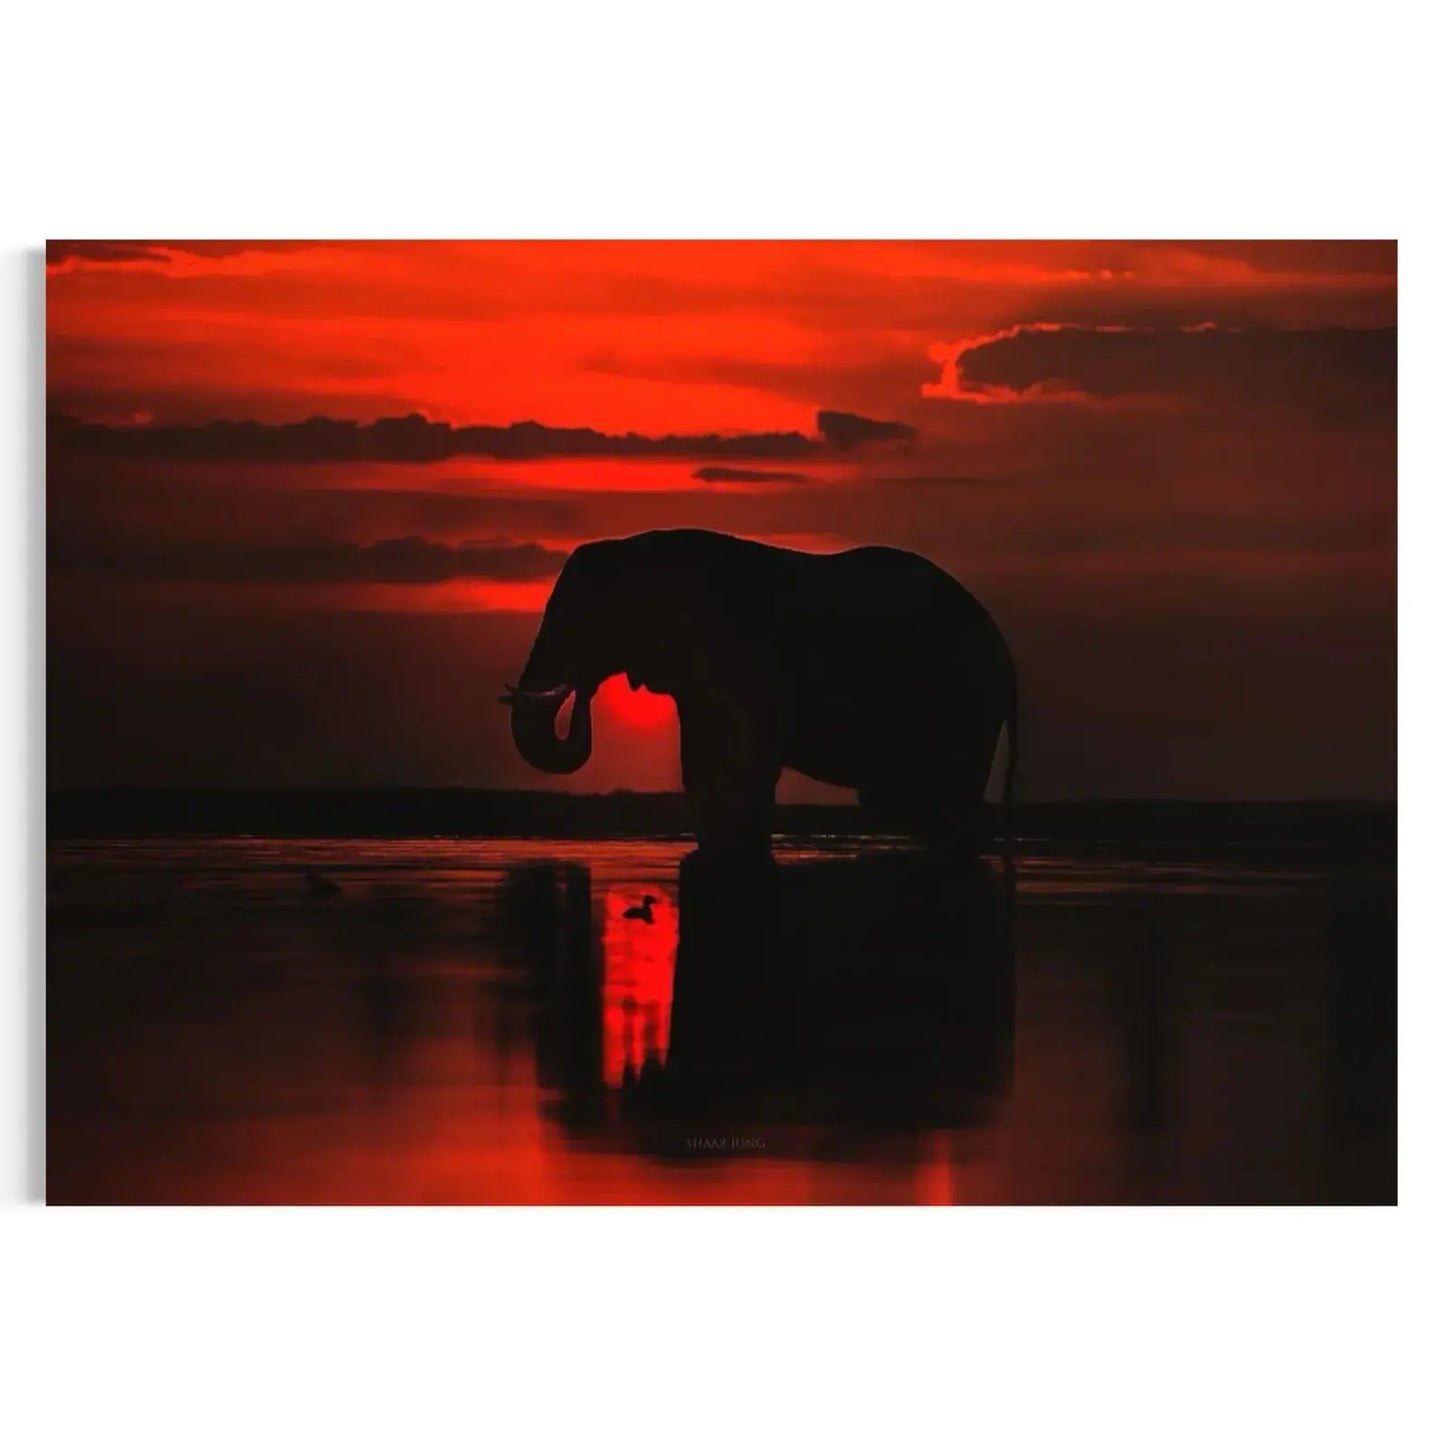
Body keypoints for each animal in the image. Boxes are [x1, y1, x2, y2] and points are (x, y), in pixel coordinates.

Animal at [502, 528, 1018, 859]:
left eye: (584, 622)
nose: (581, 693)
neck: (641, 548)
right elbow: (704, 770)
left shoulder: (738, 659)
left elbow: (738, 769)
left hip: (960, 698)